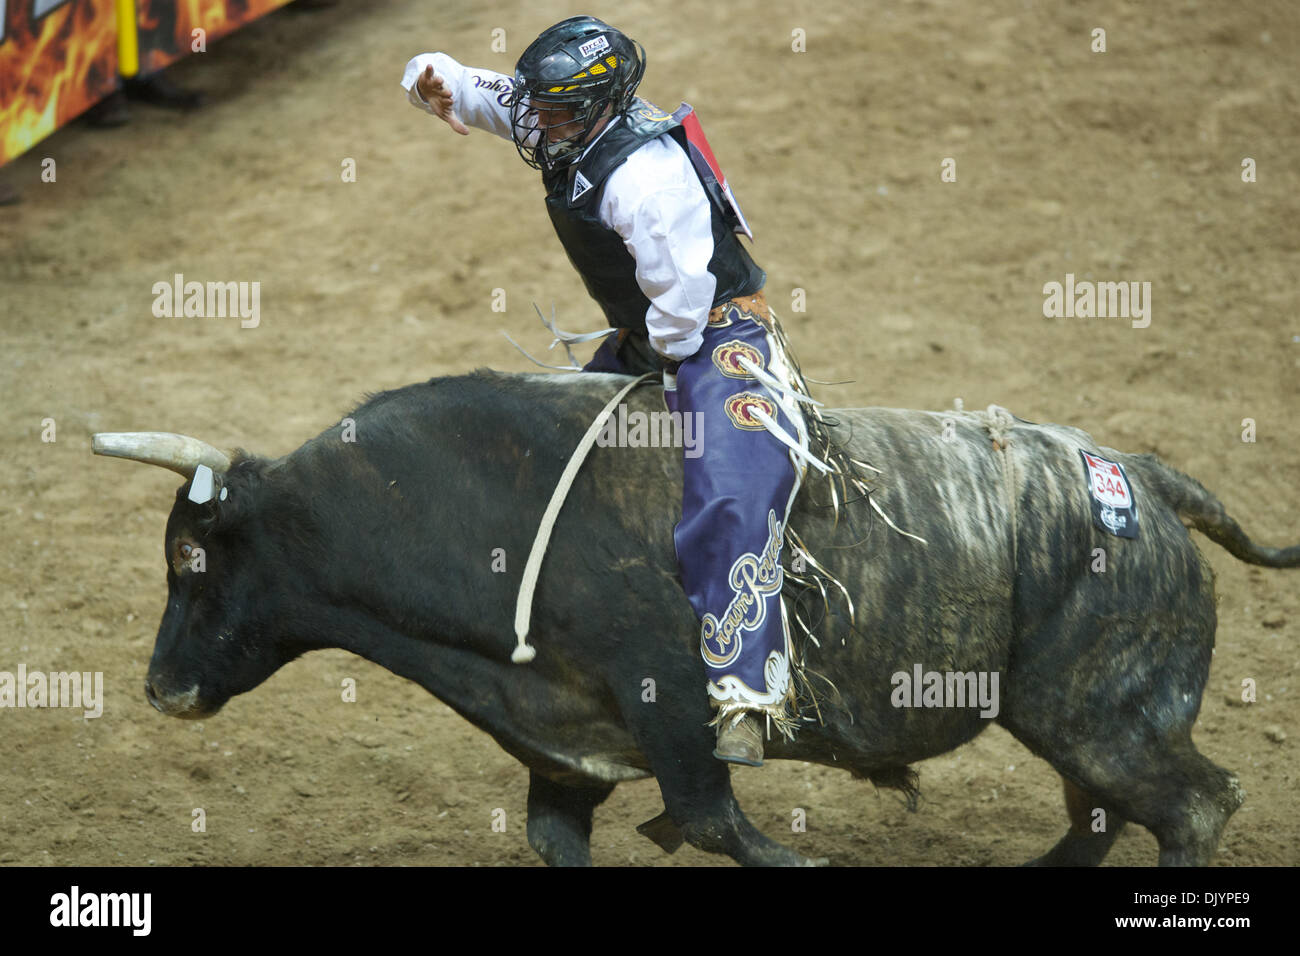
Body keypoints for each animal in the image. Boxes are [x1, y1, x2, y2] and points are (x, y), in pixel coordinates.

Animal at [94, 371, 1300, 868]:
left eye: (190, 557)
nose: (160, 686)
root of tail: (1141, 477)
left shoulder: (673, 715)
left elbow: (727, 829)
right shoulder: (564, 748)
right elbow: (559, 838)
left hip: (1105, 716)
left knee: (1191, 805)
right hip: (1084, 725)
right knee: (1101, 819)